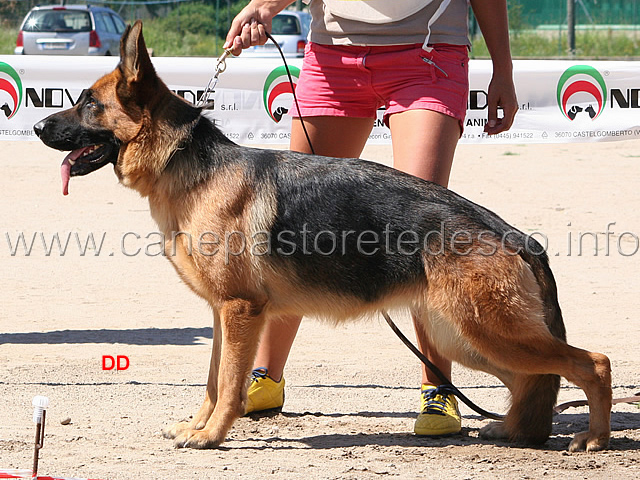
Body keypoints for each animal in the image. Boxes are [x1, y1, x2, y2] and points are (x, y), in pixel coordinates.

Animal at [33, 21, 608, 450]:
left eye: (88, 103)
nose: (38, 127)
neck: (189, 165)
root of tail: (513, 234)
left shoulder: (240, 310)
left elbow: (229, 385)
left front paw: (212, 436)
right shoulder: (222, 314)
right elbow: (214, 379)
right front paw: (199, 425)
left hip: (484, 332)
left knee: (591, 363)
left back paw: (594, 439)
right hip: (463, 337)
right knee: (533, 379)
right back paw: (513, 429)